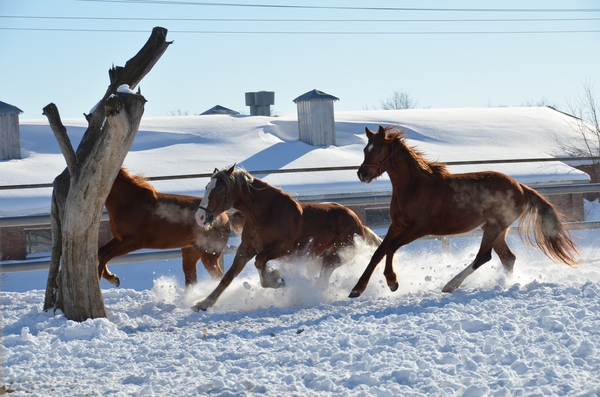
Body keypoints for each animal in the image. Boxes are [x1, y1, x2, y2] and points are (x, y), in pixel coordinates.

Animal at [98, 169, 244, 286]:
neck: (129, 203)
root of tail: (225, 217)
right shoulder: (119, 239)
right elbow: (101, 252)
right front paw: (113, 278)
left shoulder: (135, 242)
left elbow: (106, 255)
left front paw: (103, 279)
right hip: (191, 251)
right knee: (191, 279)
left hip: (209, 254)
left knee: (218, 276)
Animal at [190, 163, 382, 310]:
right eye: (206, 187)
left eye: (219, 188)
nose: (200, 217)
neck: (266, 213)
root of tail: (359, 224)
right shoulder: (245, 249)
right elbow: (228, 277)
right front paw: (203, 304)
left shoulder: (284, 249)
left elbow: (260, 262)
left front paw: (277, 279)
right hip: (318, 258)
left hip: (335, 256)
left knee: (323, 280)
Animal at [350, 125, 580, 296]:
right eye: (365, 149)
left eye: (379, 149)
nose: (362, 174)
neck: (415, 186)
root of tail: (521, 188)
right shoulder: (397, 225)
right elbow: (378, 252)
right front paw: (357, 289)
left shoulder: (418, 228)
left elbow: (391, 248)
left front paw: (392, 282)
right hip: (495, 229)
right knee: (508, 258)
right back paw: (506, 284)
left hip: (494, 226)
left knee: (484, 256)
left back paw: (451, 284)